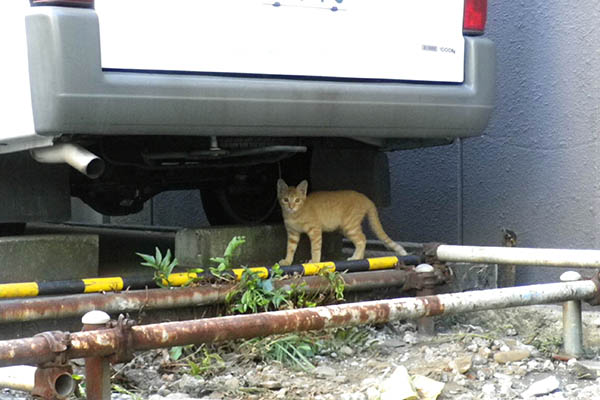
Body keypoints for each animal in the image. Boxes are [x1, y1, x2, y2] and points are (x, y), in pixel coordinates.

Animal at [278, 179, 408, 266]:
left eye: (297, 200)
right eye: (285, 199)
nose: (290, 206)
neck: (294, 214)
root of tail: (365, 197)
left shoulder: (315, 230)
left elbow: (315, 248)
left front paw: (315, 261)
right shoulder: (292, 234)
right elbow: (290, 248)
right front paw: (287, 261)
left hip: (349, 227)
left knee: (362, 239)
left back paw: (355, 258)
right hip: (346, 228)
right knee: (361, 239)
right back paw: (359, 258)